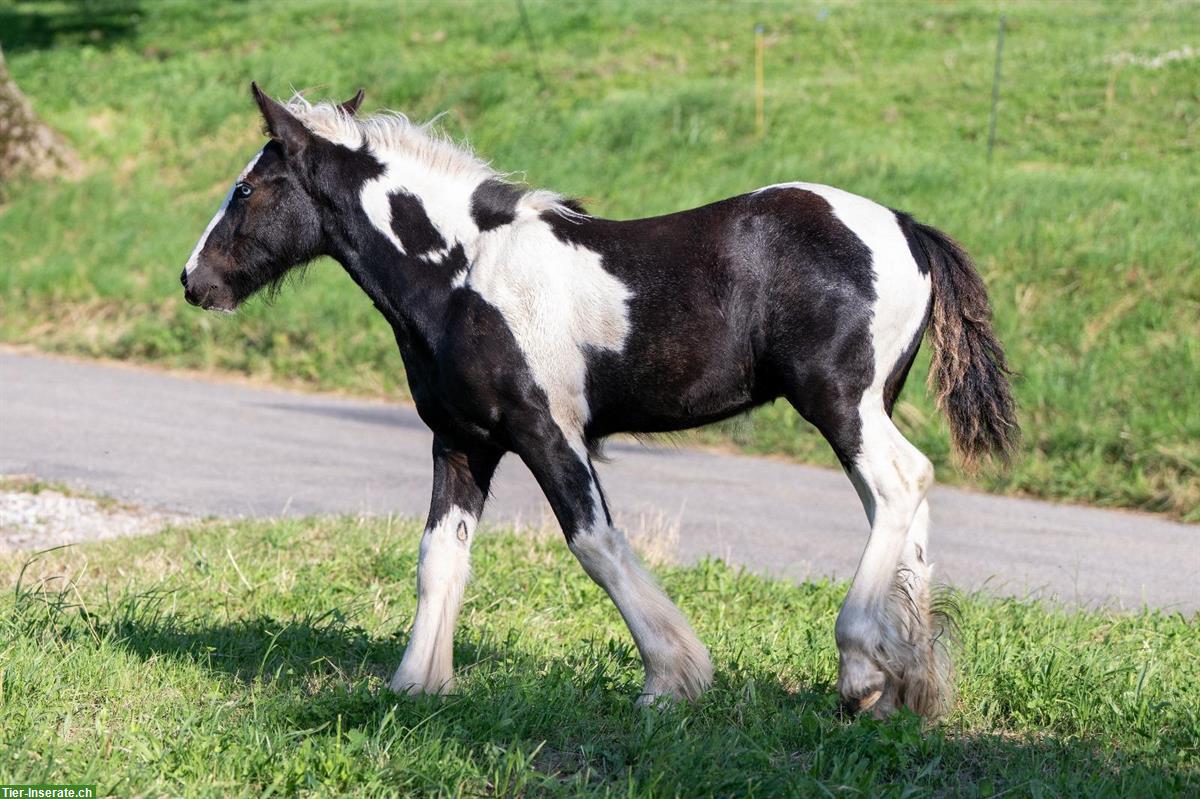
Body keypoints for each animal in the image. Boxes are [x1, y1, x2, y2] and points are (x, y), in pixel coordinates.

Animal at [182, 85, 1017, 715]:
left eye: (247, 188)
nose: (195, 281)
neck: (464, 274)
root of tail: (907, 227)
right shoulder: (463, 441)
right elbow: (439, 557)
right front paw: (417, 684)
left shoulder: (547, 431)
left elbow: (593, 541)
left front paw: (673, 677)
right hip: (865, 406)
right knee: (901, 500)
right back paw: (903, 683)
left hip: (839, 400)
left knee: (901, 482)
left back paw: (861, 668)